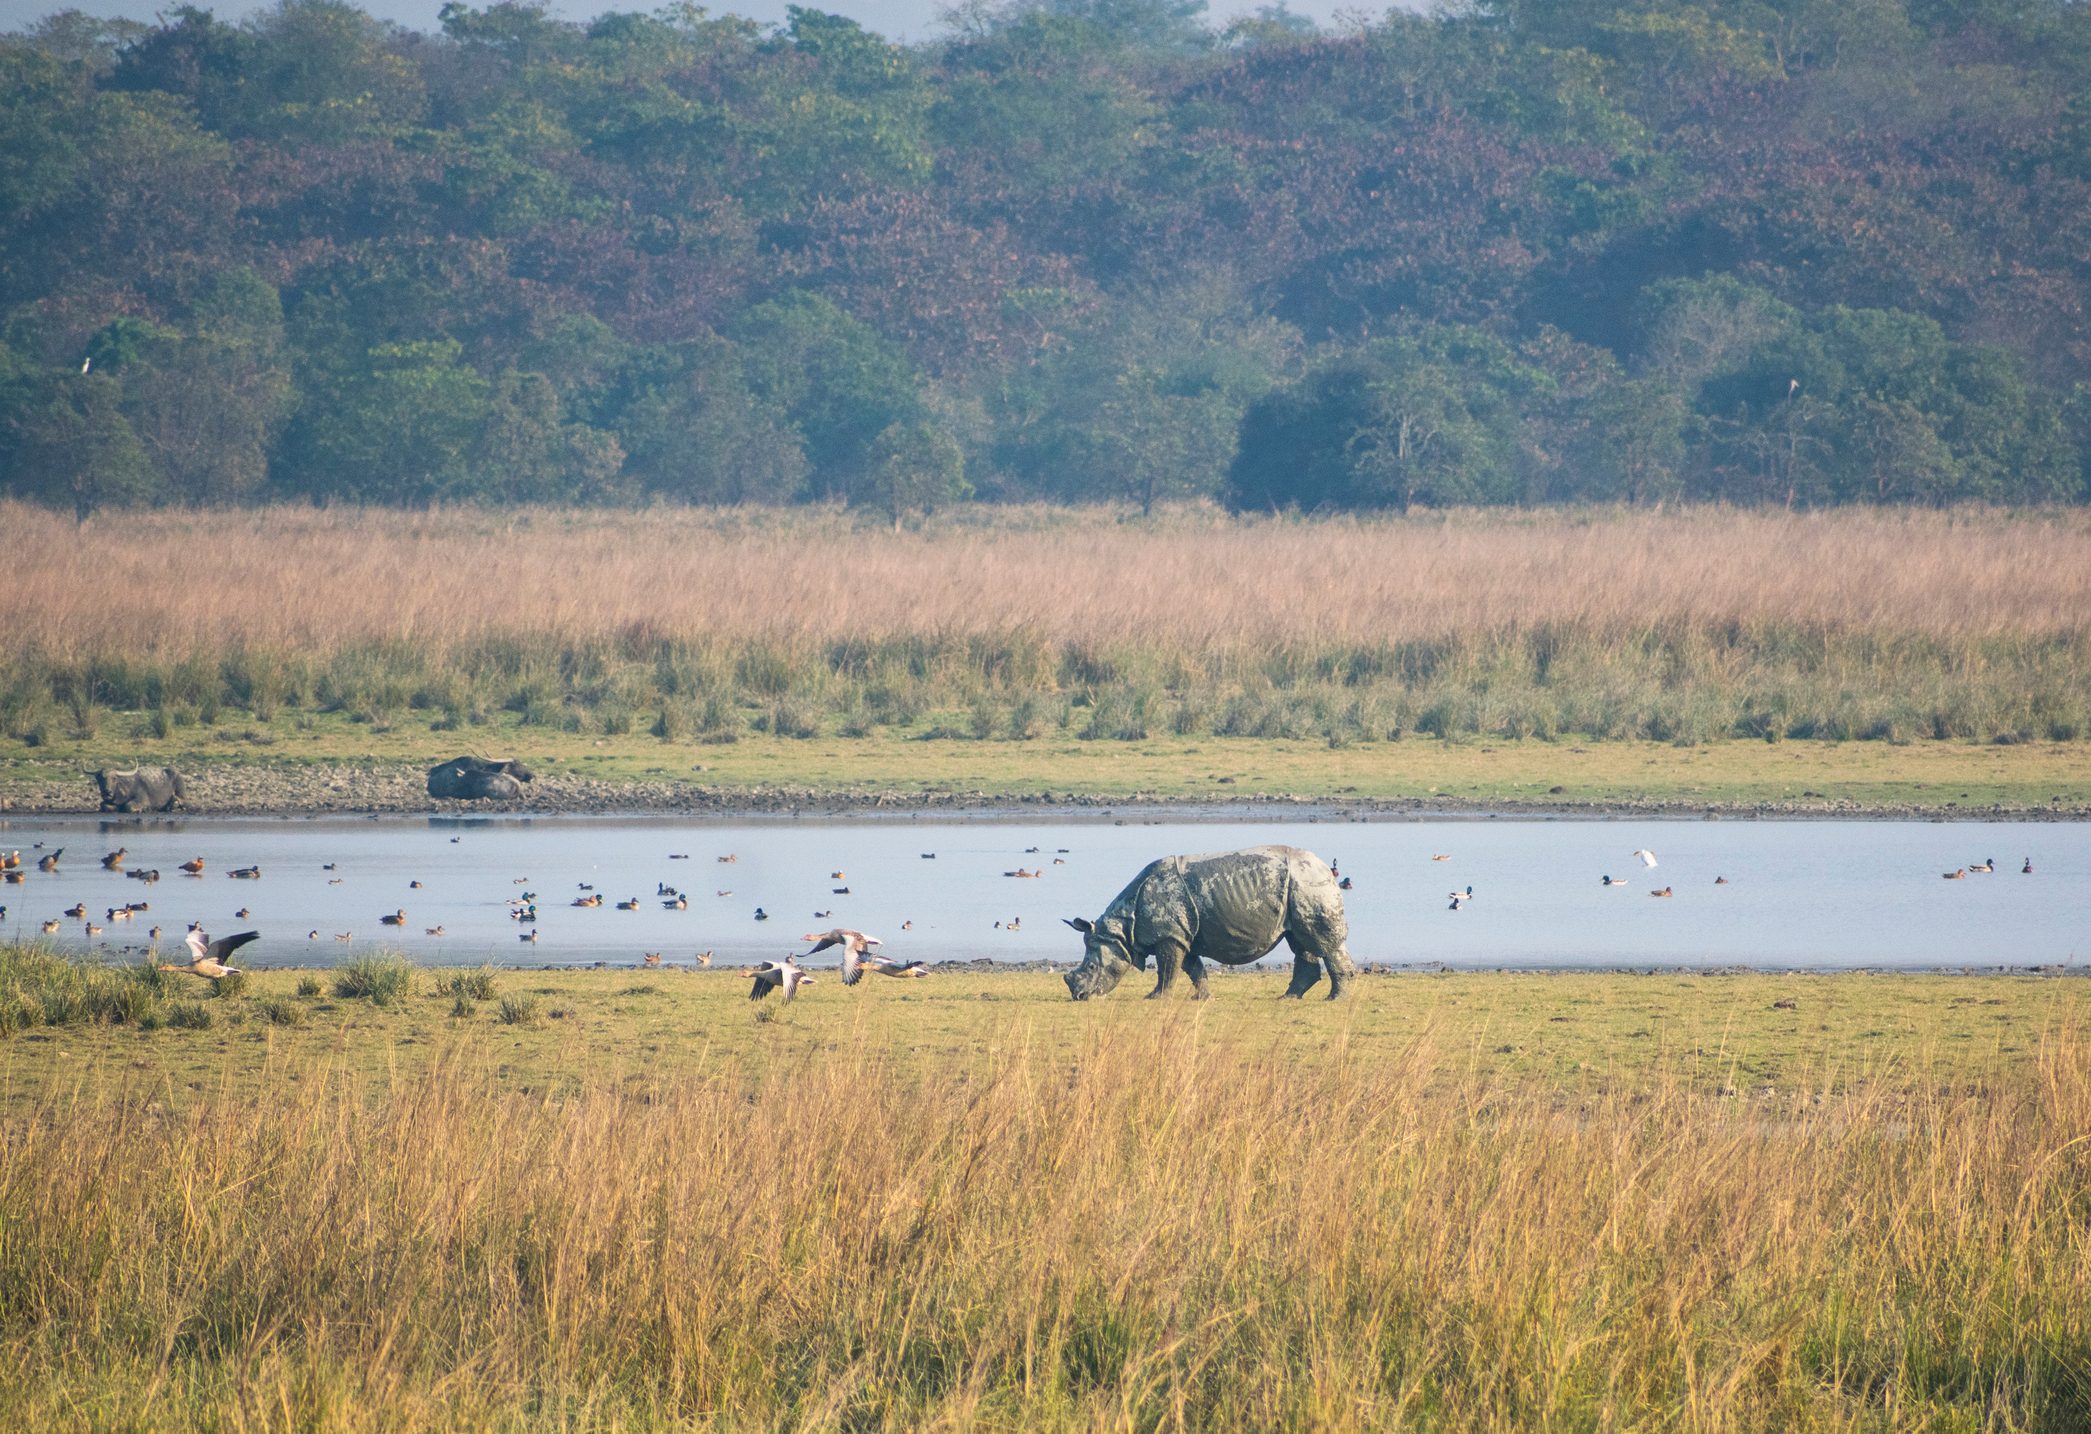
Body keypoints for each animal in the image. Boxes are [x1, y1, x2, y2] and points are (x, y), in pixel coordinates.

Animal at [1064, 844, 1357, 1002]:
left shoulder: (1169, 935)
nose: (1078, 997)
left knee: (1323, 943)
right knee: (1300, 940)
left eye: (1092, 966)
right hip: (1298, 889)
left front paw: (1155, 997)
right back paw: (1288, 997)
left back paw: (1335, 999)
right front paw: (1202, 998)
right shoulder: (1183, 934)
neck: (1121, 931)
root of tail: (1326, 868)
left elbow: (1167, 968)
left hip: (1309, 885)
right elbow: (1193, 968)